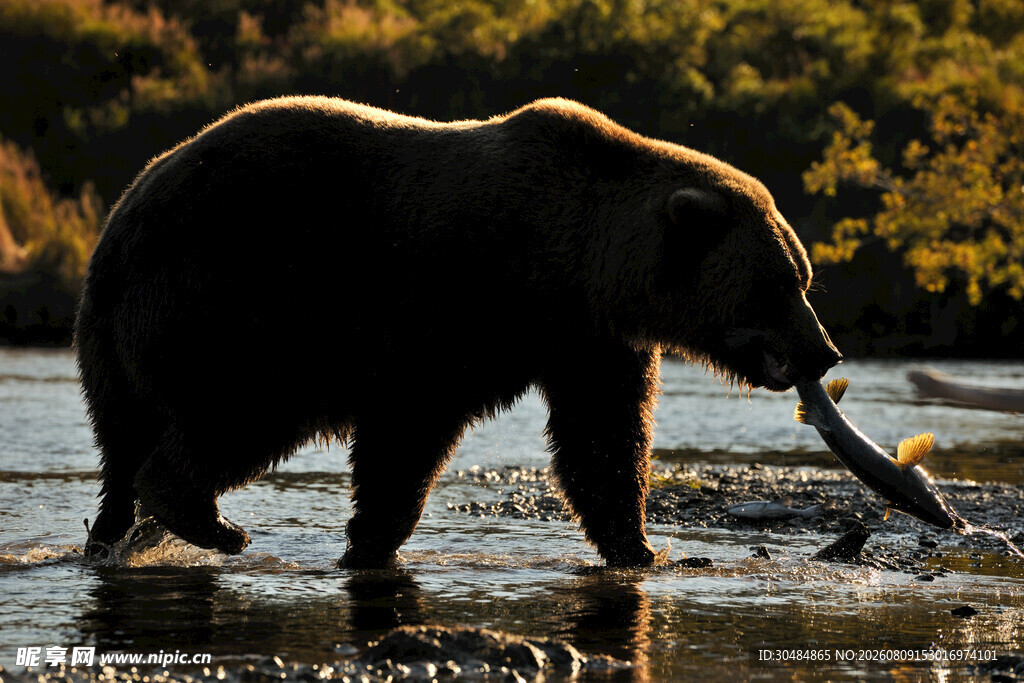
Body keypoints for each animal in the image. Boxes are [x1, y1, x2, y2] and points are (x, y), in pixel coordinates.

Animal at [76, 96, 841, 568]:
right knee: (236, 412)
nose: (824, 352)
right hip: (237, 297)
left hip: (119, 339)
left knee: (122, 444)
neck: (576, 262)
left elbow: (603, 440)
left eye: (803, 277)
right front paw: (370, 540)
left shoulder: (588, 339)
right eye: (780, 283)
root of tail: (121, 220)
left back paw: (113, 535)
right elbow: (409, 430)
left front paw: (641, 546)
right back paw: (211, 522)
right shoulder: (458, 305)